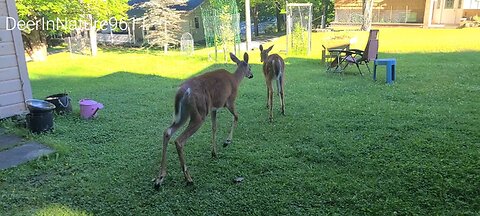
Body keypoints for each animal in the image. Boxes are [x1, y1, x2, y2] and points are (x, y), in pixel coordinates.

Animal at [155, 52, 253, 189]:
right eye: (250, 66)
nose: (251, 75)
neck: (235, 79)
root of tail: (183, 92)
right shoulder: (229, 101)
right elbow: (236, 116)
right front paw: (227, 142)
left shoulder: (213, 108)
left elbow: (214, 127)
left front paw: (214, 153)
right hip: (198, 114)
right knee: (179, 140)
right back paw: (188, 178)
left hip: (183, 114)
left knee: (167, 132)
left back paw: (160, 178)